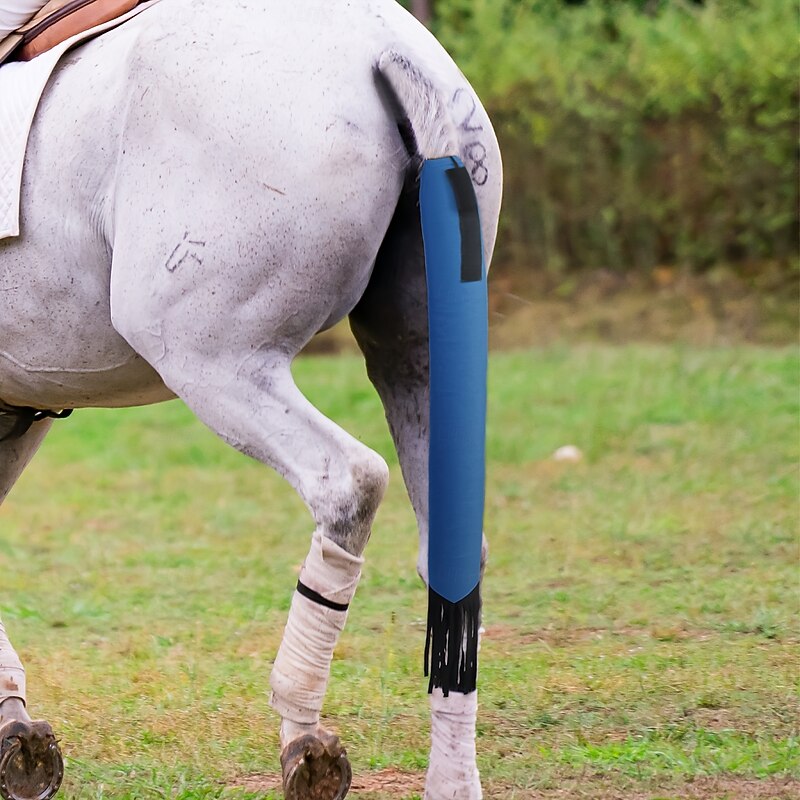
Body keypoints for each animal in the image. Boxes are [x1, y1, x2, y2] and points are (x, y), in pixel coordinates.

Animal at [0, 1, 502, 798]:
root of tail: (392, 47)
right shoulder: (19, 409)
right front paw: (15, 727)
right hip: (414, 356)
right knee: (449, 550)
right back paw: (450, 781)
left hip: (214, 360)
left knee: (346, 481)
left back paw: (304, 732)